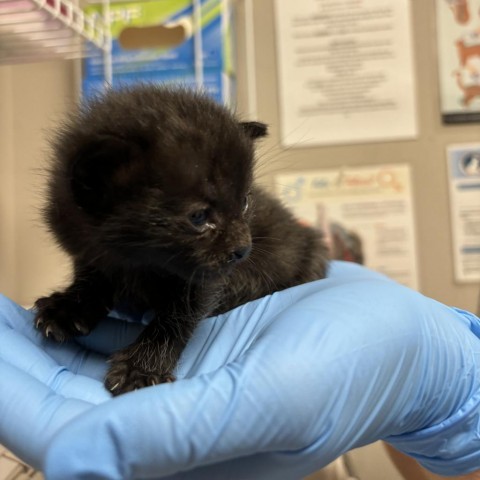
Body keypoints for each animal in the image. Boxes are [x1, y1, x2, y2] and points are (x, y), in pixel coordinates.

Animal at [34, 85, 330, 394]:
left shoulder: (206, 280)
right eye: (199, 216)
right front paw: (68, 308)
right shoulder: (91, 252)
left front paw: (141, 367)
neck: (135, 261)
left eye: (245, 202)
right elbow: (92, 279)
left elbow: (179, 315)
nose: (244, 249)